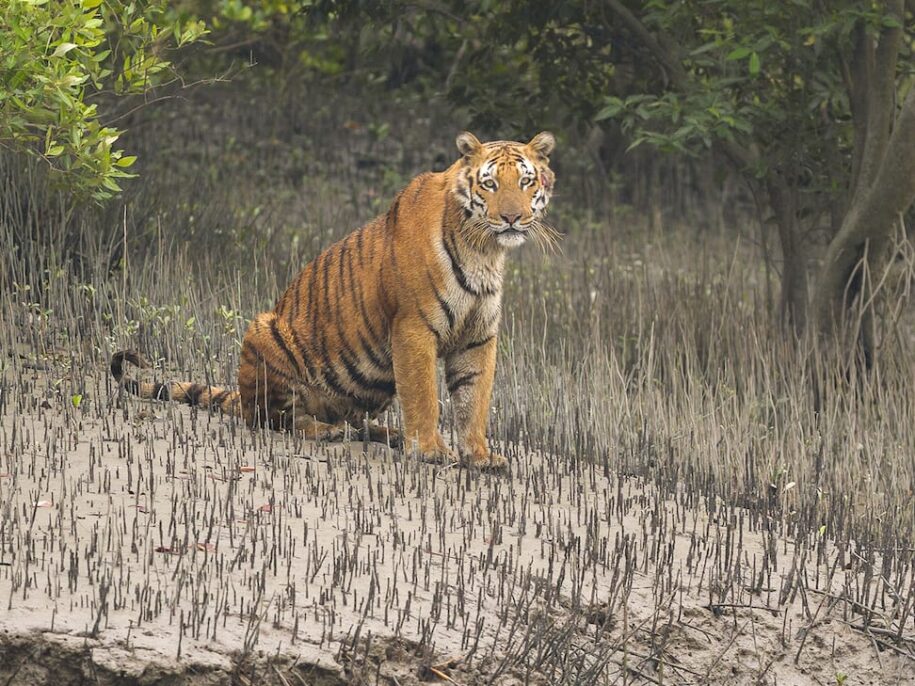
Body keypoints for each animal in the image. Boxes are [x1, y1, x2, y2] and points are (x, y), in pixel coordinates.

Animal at [112, 131, 557, 468]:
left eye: (526, 182)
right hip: (264, 331)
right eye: (490, 184)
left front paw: (479, 456)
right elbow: (424, 396)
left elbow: (473, 400)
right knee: (274, 419)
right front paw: (430, 451)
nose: (512, 218)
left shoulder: (477, 338)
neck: (485, 250)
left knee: (354, 420)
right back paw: (326, 432)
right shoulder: (414, 329)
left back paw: (387, 433)